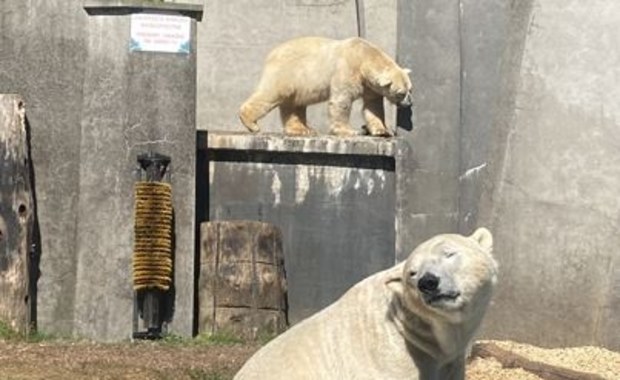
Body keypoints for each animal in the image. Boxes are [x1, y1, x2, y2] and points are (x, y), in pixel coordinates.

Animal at [240, 36, 414, 137]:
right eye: (400, 93)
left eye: (410, 90)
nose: (409, 103)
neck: (364, 56)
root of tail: (271, 54)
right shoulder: (346, 69)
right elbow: (341, 101)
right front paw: (349, 131)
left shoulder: (370, 86)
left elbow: (373, 106)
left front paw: (381, 130)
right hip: (287, 72)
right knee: (271, 94)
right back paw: (251, 124)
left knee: (293, 104)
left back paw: (302, 129)